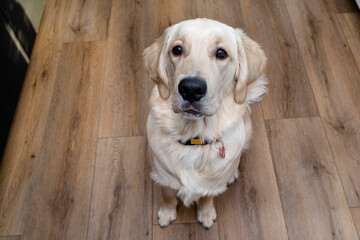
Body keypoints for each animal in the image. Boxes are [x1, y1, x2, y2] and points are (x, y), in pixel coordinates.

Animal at [143, 18, 268, 229]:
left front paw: (206, 214)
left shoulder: (212, 184)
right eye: (177, 49)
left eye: (221, 53)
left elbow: (206, 197)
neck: (194, 138)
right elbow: (168, 196)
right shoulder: (164, 176)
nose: (191, 89)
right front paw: (166, 214)